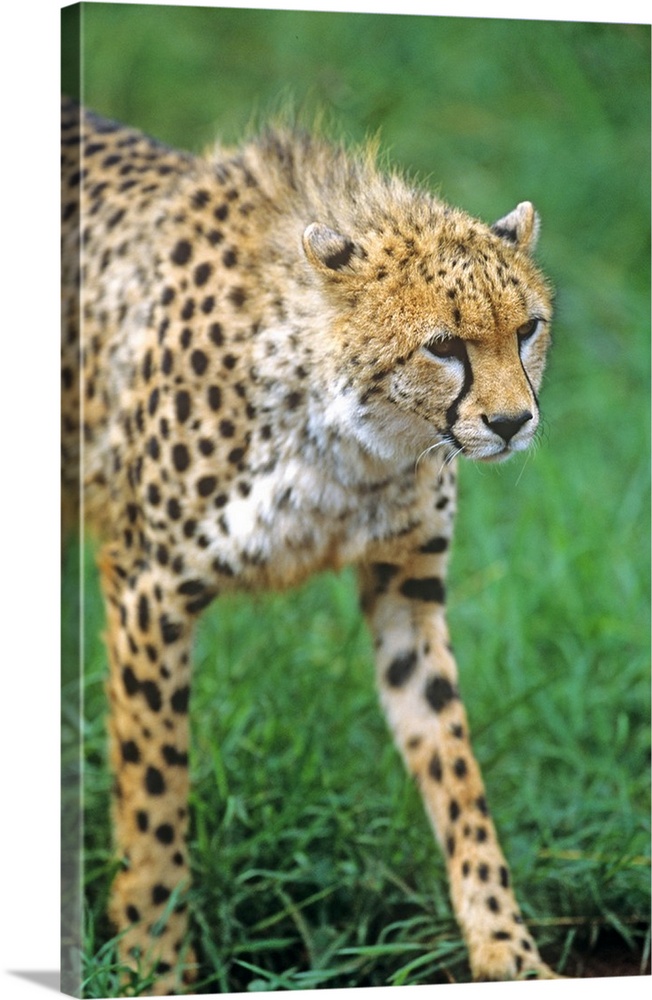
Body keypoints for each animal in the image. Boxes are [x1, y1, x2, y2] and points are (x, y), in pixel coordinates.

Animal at [62, 95, 556, 992]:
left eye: (528, 328)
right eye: (444, 345)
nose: (511, 423)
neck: (354, 440)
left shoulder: (405, 590)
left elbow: (454, 765)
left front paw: (508, 949)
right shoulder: (148, 586)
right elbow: (153, 794)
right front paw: (155, 963)